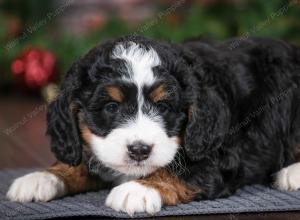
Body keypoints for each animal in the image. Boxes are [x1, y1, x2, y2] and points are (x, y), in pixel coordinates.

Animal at [5, 35, 300, 216]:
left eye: (163, 108)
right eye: (111, 107)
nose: (139, 150)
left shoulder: (221, 156)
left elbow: (180, 170)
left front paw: (138, 189)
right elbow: (80, 161)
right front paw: (41, 177)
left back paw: (292, 173)